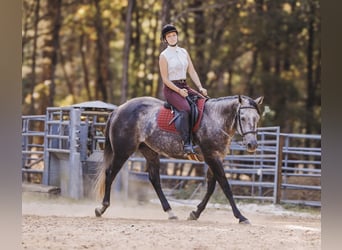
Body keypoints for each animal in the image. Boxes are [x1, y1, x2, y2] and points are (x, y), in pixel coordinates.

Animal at [95, 94, 264, 224]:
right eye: (242, 118)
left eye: (257, 118)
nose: (252, 144)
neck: (215, 119)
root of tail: (118, 109)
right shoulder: (211, 157)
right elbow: (225, 186)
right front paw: (241, 217)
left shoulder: (215, 158)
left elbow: (211, 187)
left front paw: (195, 213)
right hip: (122, 152)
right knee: (110, 174)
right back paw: (102, 208)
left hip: (150, 152)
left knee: (154, 180)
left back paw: (170, 212)